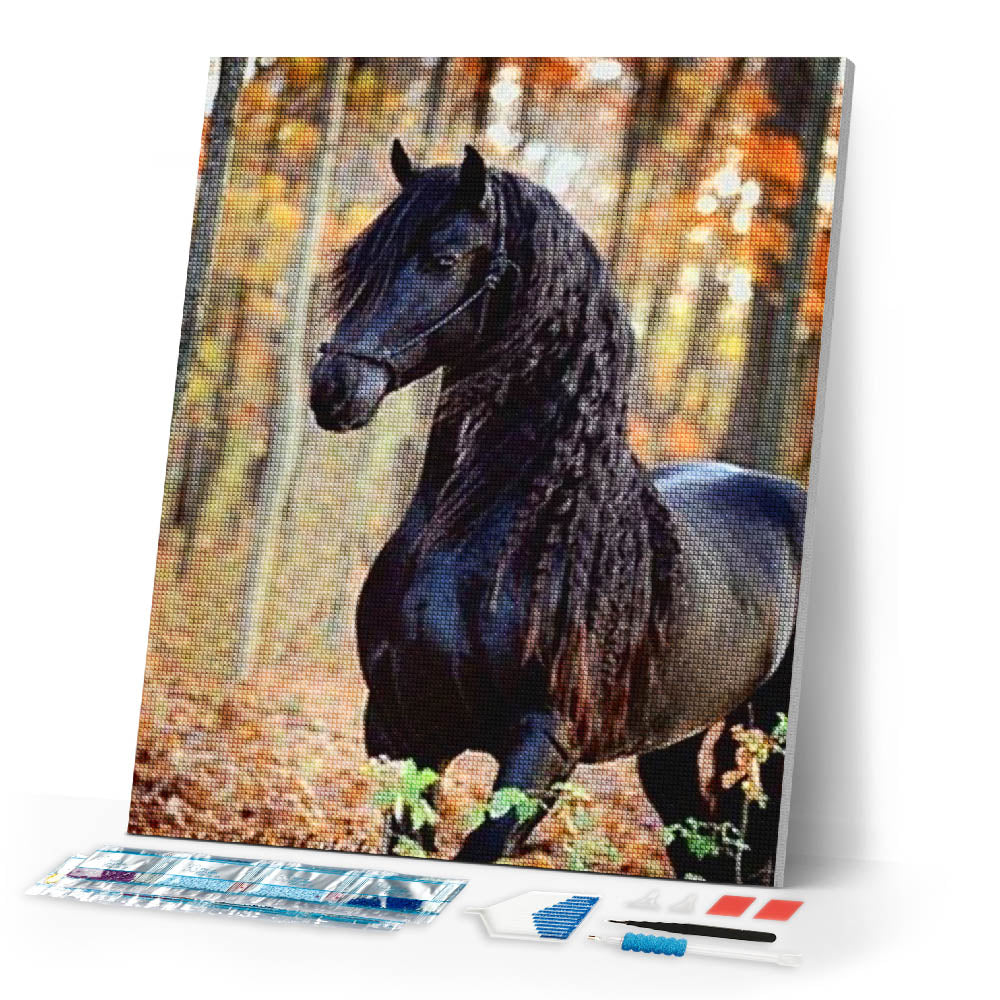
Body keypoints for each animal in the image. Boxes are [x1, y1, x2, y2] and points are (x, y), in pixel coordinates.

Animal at [309, 141, 805, 883]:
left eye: (443, 259)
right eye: (362, 261)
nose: (333, 388)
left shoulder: (544, 750)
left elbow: (480, 848)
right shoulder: (405, 731)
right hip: (670, 747)